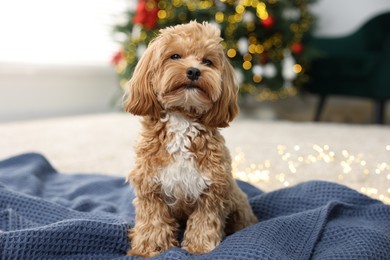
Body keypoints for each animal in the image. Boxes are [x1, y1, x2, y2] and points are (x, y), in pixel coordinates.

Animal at [125, 21, 258, 256]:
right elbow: (153, 222)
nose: (194, 71)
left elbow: (204, 222)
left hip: (237, 201)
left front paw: (199, 247)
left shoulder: (213, 189)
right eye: (175, 56)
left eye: (207, 61)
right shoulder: (150, 187)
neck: (182, 118)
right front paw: (151, 248)